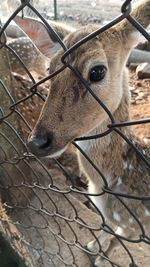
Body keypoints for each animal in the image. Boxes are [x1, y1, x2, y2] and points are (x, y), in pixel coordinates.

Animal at [12, 1, 149, 266]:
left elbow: (117, 240)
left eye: (97, 72)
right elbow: (106, 229)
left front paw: (100, 259)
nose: (36, 142)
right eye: (50, 68)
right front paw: (92, 246)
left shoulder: (135, 226)